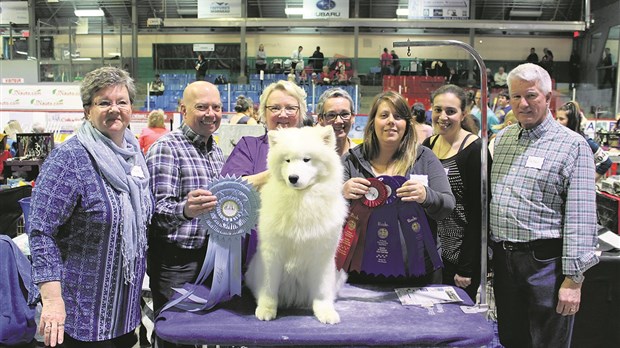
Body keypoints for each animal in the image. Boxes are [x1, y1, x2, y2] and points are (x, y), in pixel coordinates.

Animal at [245, 125, 348, 324]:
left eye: (307, 159)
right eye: (287, 160)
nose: (293, 177)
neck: (301, 201)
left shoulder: (322, 255)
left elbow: (322, 291)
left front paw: (325, 312)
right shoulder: (273, 254)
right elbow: (269, 287)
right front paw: (266, 309)